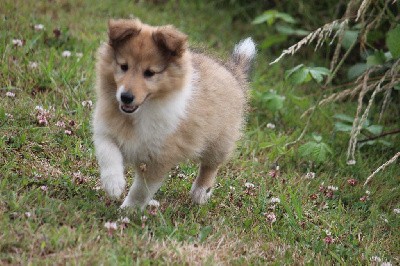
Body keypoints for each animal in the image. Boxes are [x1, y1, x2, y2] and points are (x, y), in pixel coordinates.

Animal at [93, 19, 256, 210]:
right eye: (123, 66)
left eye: (150, 73)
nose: (126, 97)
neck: (139, 113)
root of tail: (233, 70)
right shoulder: (105, 130)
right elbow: (108, 153)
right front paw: (114, 185)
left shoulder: (160, 158)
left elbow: (140, 191)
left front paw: (128, 211)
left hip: (220, 140)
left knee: (211, 165)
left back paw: (200, 193)